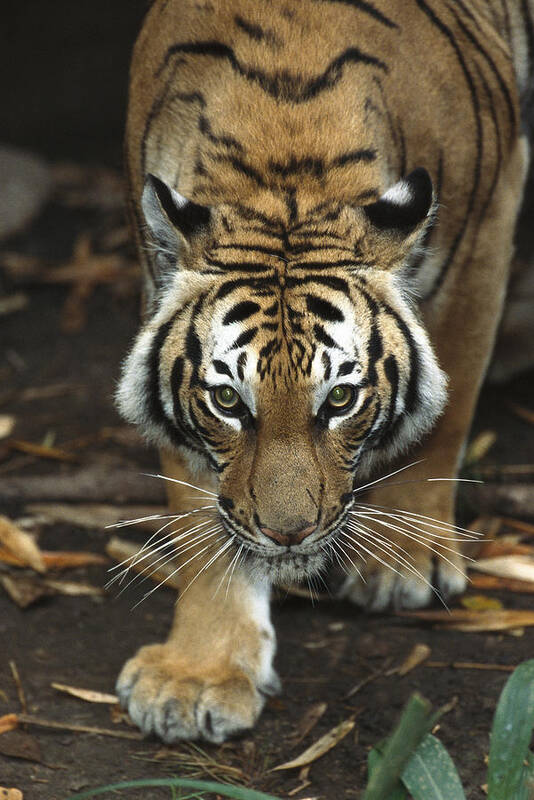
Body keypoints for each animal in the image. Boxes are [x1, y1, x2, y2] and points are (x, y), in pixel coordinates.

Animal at [114, 0, 534, 744]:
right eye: (228, 401)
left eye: (339, 399)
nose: (290, 534)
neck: (284, 170)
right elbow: (198, 508)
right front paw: (198, 675)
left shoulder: (487, 223)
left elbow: (443, 411)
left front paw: (405, 560)